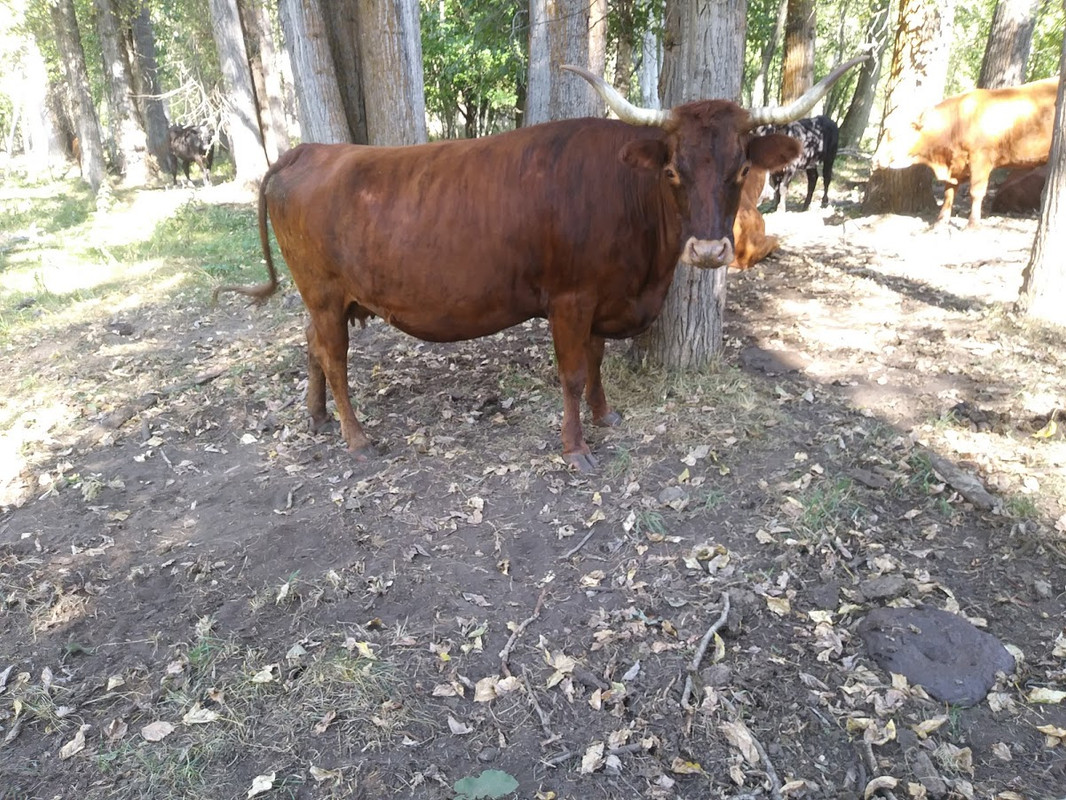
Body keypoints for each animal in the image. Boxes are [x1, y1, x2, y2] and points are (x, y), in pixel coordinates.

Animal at [214, 59, 865, 473]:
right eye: (673, 170)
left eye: (740, 170)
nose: (708, 252)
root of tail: (306, 150)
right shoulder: (570, 299)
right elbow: (572, 372)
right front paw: (575, 449)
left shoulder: (603, 298)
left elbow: (597, 363)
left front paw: (607, 416)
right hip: (324, 292)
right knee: (334, 357)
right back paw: (355, 437)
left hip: (323, 297)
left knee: (311, 347)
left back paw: (317, 417)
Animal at [874, 78, 1057, 227]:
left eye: (894, 134)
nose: (875, 159)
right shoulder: (956, 165)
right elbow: (949, 193)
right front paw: (940, 223)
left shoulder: (981, 159)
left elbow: (976, 192)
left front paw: (972, 224)